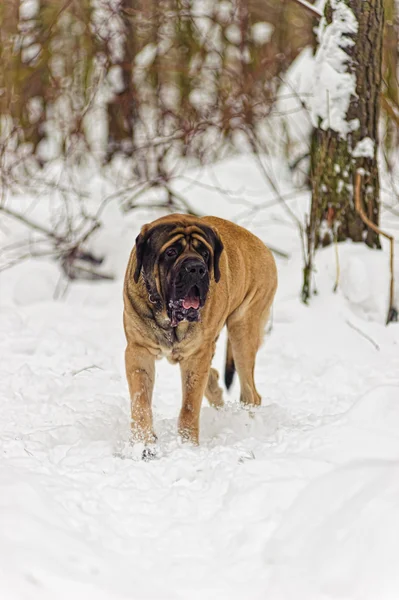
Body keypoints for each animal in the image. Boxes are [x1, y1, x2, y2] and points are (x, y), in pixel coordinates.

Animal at [123, 214, 276, 450]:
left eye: (205, 253)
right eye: (171, 252)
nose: (196, 268)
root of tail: (261, 245)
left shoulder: (196, 356)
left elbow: (189, 406)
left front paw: (187, 446)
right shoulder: (138, 352)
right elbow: (140, 402)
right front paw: (144, 445)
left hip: (243, 330)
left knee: (251, 394)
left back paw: (248, 427)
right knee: (215, 378)